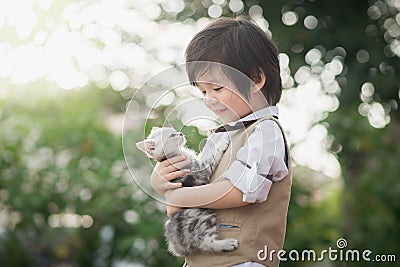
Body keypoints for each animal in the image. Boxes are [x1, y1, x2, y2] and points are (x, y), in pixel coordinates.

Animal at [136, 127, 239, 258]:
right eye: (172, 135)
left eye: (174, 130)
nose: (180, 133)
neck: (178, 154)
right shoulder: (201, 169)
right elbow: (210, 156)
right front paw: (222, 142)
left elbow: (206, 151)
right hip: (204, 217)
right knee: (205, 241)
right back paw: (227, 244)